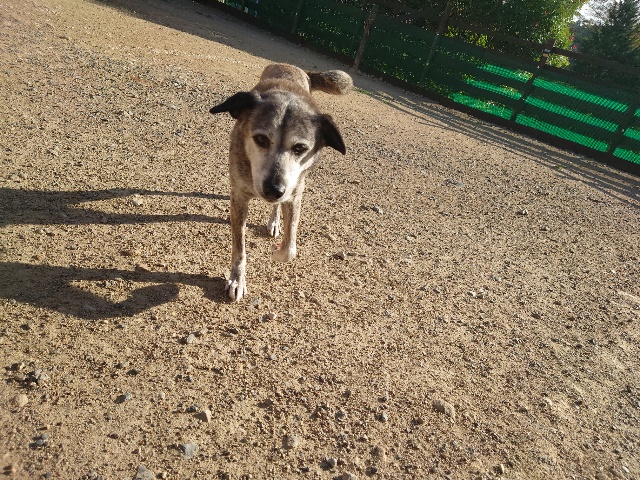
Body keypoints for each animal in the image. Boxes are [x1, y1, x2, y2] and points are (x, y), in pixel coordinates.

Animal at [209, 64, 352, 301]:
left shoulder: (294, 195)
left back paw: (275, 221)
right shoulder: (239, 197)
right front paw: (237, 279)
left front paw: (277, 251)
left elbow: (290, 248)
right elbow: (239, 248)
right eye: (260, 139)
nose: (273, 189)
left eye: (300, 148)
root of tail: (296, 68)